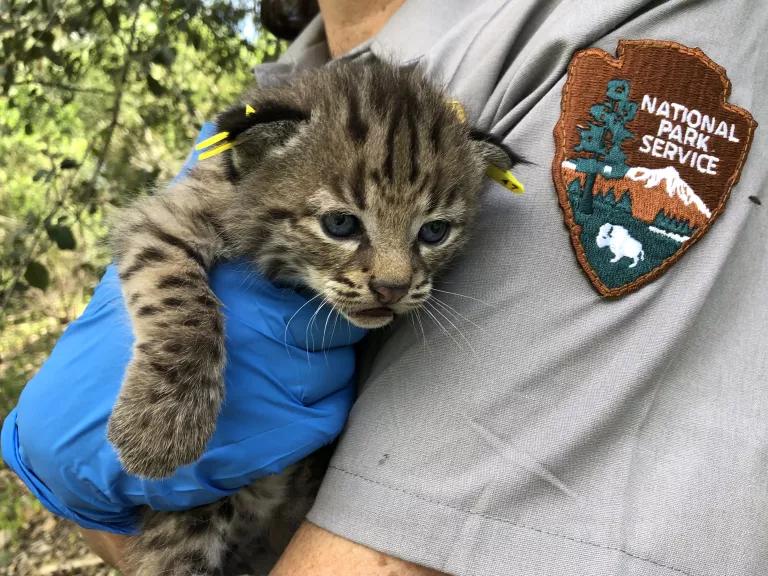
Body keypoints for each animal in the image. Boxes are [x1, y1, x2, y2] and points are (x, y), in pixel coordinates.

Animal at [108, 58, 512, 572]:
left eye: (434, 232)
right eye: (340, 224)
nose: (393, 288)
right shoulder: (164, 217)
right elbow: (177, 297)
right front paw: (160, 425)